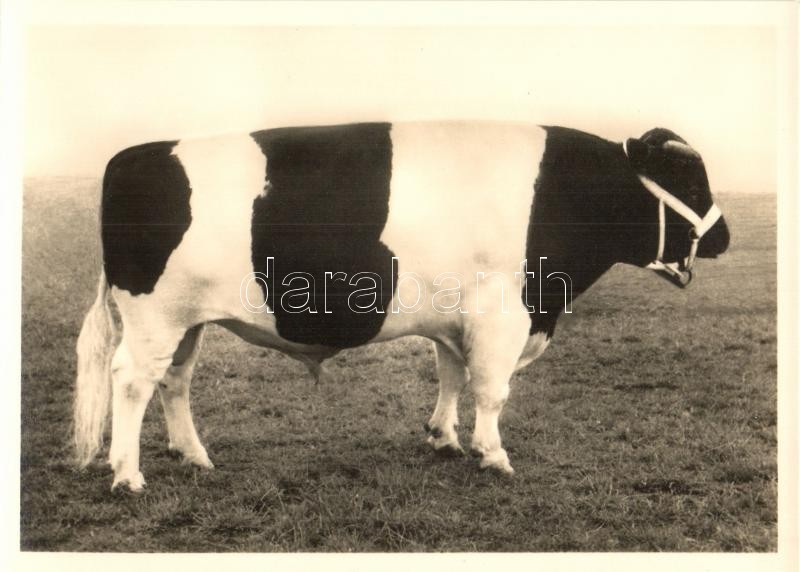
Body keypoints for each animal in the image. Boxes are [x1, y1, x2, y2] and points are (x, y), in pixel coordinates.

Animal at [73, 121, 730, 491]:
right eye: (690, 182)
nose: (723, 236)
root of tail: (132, 155)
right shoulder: (505, 313)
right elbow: (492, 390)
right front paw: (493, 455)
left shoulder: (458, 317)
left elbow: (452, 375)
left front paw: (444, 438)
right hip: (154, 316)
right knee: (131, 381)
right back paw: (127, 475)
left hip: (186, 322)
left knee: (174, 382)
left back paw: (193, 456)